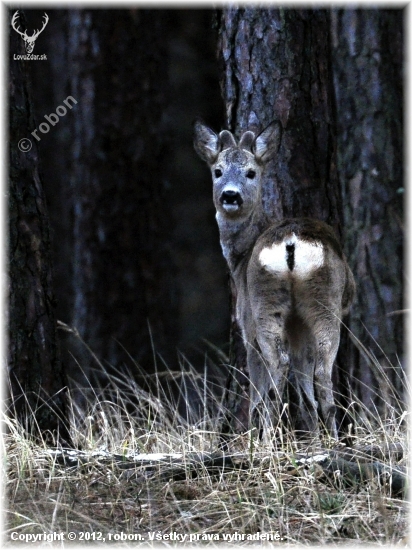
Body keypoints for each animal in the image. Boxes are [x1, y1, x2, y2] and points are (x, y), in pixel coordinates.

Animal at [193, 119, 354, 440]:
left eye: (251, 172)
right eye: (217, 170)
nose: (230, 195)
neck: (239, 260)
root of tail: (290, 241)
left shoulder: (247, 325)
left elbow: (259, 389)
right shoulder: (298, 327)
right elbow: (305, 390)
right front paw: (313, 438)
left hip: (265, 302)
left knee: (278, 370)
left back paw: (271, 435)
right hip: (321, 301)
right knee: (320, 372)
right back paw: (330, 439)